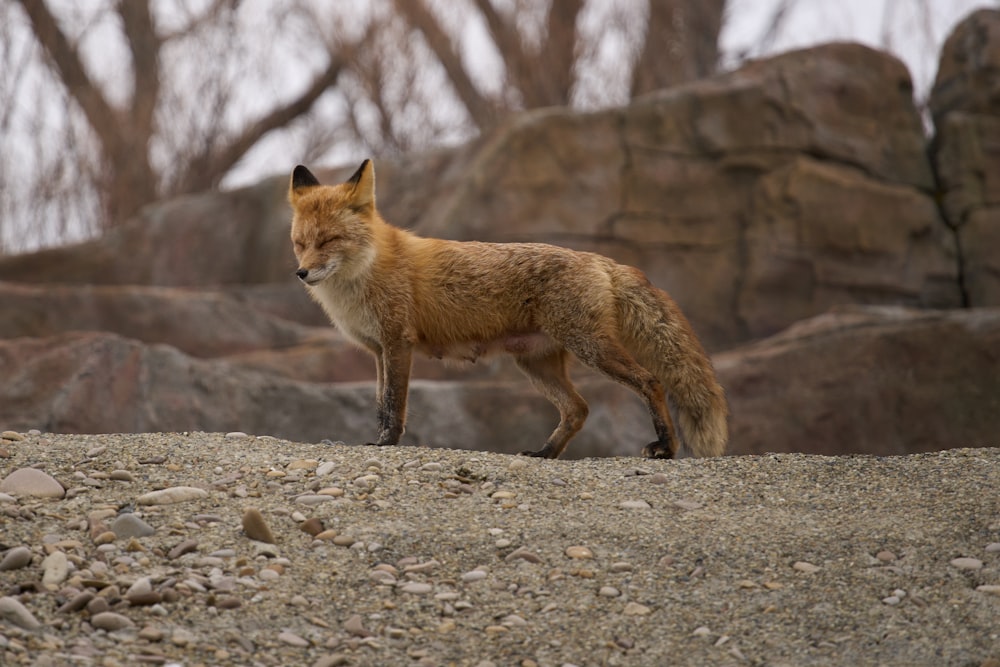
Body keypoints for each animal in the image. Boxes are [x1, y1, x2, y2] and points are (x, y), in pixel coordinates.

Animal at [290, 162, 728, 460]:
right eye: (300, 243)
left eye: (328, 241)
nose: (301, 273)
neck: (367, 272)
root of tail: (601, 260)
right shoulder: (379, 350)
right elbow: (381, 403)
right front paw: (379, 439)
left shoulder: (398, 343)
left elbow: (394, 405)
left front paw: (387, 444)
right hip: (536, 364)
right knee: (579, 409)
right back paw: (545, 453)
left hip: (591, 349)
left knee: (650, 382)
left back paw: (666, 447)